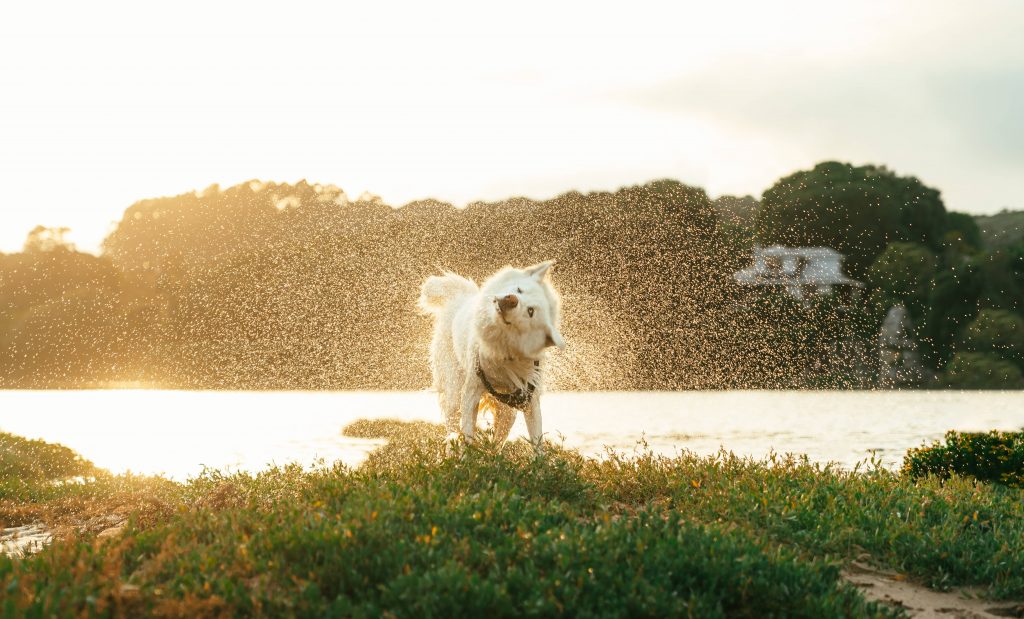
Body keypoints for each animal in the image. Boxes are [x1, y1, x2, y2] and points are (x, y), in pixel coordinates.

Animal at [417, 261, 569, 448]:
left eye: (530, 311)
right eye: (519, 290)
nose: (511, 299)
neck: (502, 350)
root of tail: (460, 296)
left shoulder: (529, 399)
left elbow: (537, 441)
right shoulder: (471, 391)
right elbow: (467, 436)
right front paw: (467, 455)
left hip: (508, 412)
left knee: (497, 442)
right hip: (454, 389)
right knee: (452, 428)